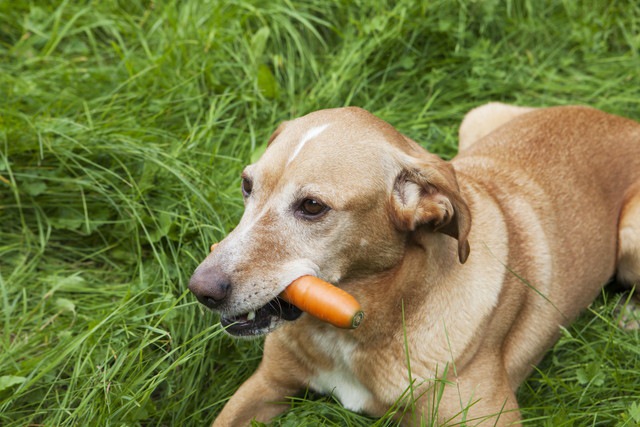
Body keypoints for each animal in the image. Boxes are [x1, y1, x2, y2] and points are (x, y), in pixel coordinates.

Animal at [189, 103, 640, 424]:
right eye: (247, 185)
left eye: (312, 206)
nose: (201, 290)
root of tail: (624, 122)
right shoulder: (266, 383)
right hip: (478, 119)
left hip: (630, 238)